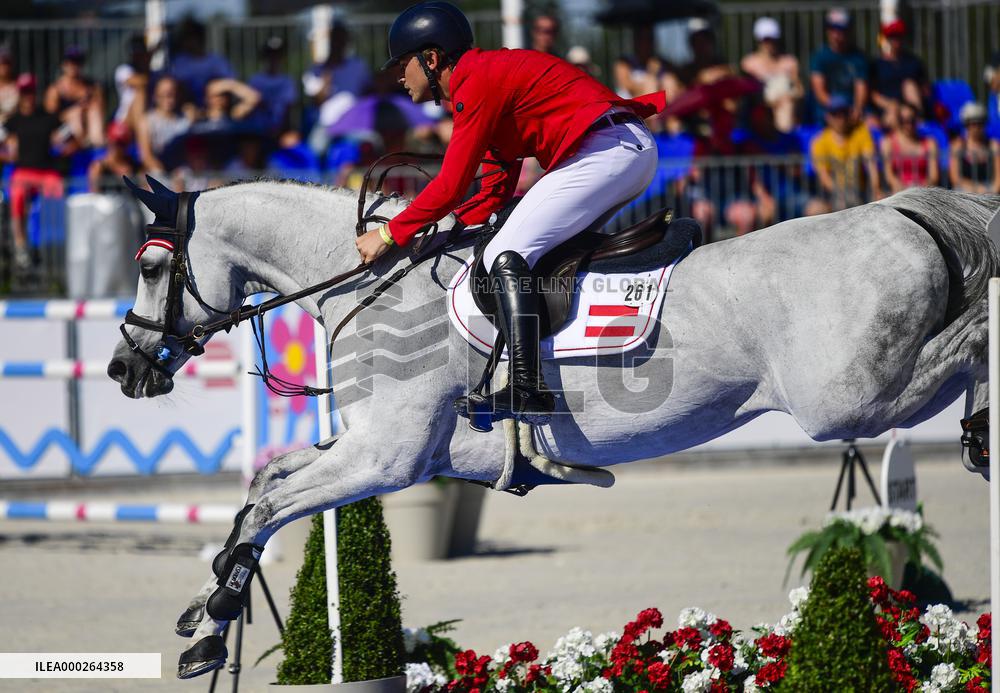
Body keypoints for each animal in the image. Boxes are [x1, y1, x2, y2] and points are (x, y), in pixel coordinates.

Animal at [107, 180, 999, 677]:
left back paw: (982, 423)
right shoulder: (377, 451)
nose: (123, 369)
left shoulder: (387, 459)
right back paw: (980, 434)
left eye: (151, 267)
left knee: (977, 330)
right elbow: (267, 483)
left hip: (848, 399)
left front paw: (211, 621)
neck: (373, 285)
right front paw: (206, 613)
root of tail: (901, 210)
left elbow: (269, 503)